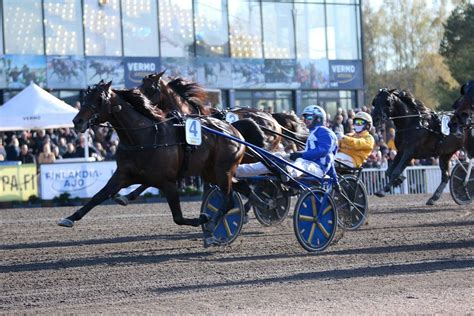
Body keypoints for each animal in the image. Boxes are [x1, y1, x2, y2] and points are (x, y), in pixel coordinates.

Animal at [57, 79, 246, 247]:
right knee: (237, 189)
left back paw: (213, 224)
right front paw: (69, 218)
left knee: (228, 200)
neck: (143, 137)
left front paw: (203, 218)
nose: (77, 121)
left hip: (222, 171)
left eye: (99, 99)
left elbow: (178, 217)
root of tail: (234, 130)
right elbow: (99, 195)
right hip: (211, 172)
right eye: (85, 98)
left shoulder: (168, 182)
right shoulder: (124, 174)